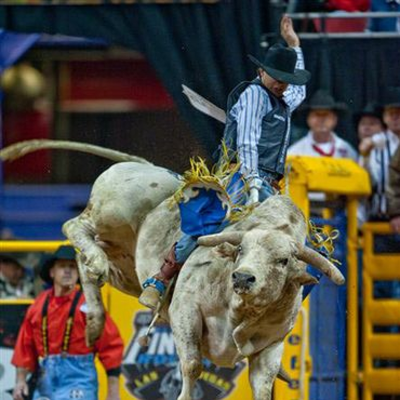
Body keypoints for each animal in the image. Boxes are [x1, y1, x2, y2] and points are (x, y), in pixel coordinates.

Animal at [0, 141, 344, 400]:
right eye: (241, 250)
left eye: (283, 260)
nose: (243, 277)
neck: (241, 311)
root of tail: (146, 166)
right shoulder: (186, 312)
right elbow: (191, 366)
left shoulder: (271, 345)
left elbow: (262, 386)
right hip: (110, 215)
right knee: (74, 226)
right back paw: (95, 267)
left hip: (125, 268)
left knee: (85, 264)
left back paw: (95, 318)